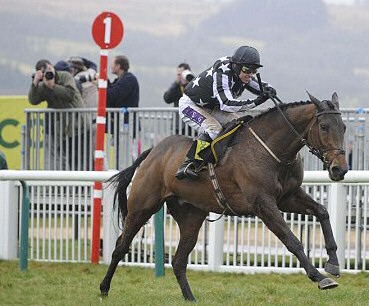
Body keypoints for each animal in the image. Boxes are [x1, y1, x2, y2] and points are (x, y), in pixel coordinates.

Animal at [100, 91, 348, 302]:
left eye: (344, 127)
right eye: (324, 126)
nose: (340, 169)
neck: (272, 150)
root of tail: (154, 151)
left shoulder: (288, 197)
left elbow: (322, 212)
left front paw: (333, 263)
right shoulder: (263, 203)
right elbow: (292, 240)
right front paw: (320, 277)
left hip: (191, 215)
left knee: (179, 260)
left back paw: (190, 298)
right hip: (142, 206)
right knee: (121, 246)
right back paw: (104, 289)